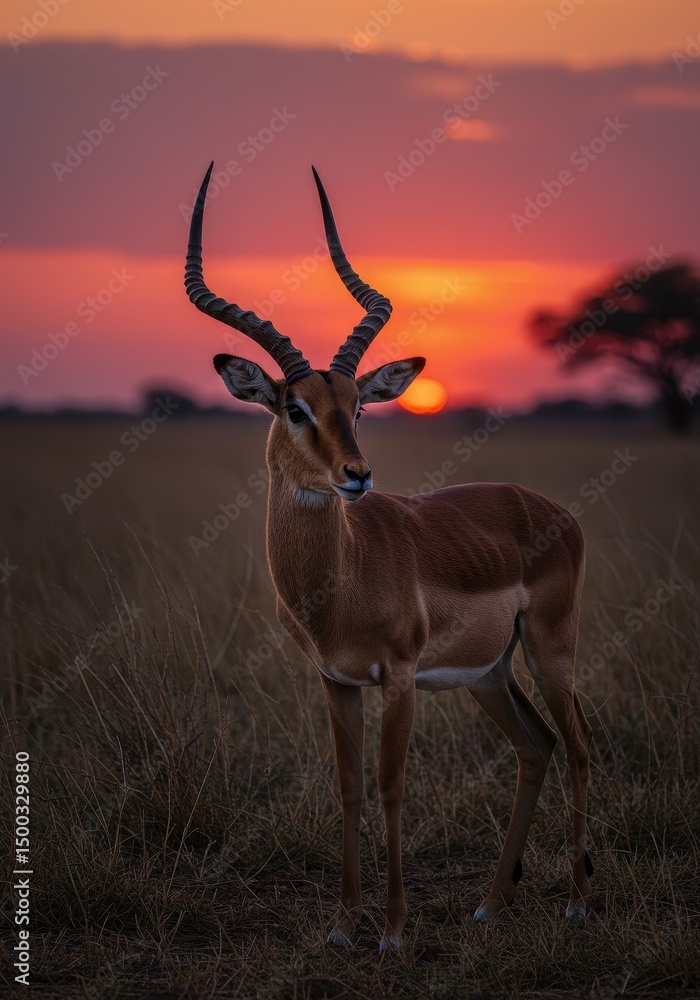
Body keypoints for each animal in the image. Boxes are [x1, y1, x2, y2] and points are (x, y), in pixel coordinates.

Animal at [185, 163, 593, 951]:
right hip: (489, 672)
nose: (357, 475)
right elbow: (347, 786)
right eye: (295, 408)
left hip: (549, 647)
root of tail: (554, 511)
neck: (342, 578)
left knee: (579, 742)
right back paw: (492, 903)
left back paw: (578, 902)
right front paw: (345, 924)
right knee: (536, 746)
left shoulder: (399, 678)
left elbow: (391, 785)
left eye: (359, 404)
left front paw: (396, 929)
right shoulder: (336, 680)